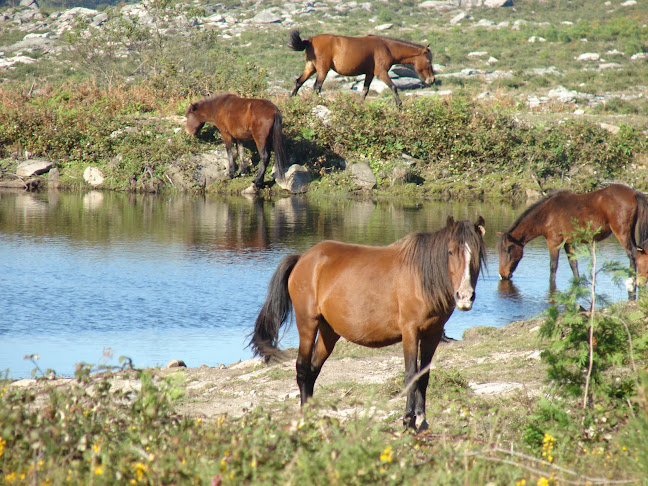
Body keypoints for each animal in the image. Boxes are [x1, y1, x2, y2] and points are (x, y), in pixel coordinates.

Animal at [251, 216, 484, 430]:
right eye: (451, 251)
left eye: (477, 253)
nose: (465, 296)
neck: (421, 278)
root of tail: (303, 259)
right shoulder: (410, 332)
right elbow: (410, 375)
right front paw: (408, 422)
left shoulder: (432, 334)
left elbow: (423, 375)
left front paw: (422, 421)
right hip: (307, 323)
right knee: (302, 369)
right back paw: (305, 418)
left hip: (329, 331)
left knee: (312, 371)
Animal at [288, 31, 436, 109]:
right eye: (428, 61)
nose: (432, 80)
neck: (387, 48)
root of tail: (310, 41)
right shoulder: (381, 73)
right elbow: (394, 87)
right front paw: (399, 106)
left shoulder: (369, 74)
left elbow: (365, 91)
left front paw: (359, 105)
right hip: (322, 70)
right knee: (317, 87)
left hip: (310, 68)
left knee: (299, 82)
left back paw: (292, 99)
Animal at [496, 183, 648, 290]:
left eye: (508, 250)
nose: (502, 275)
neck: (545, 215)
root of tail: (633, 193)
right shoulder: (568, 243)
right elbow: (573, 265)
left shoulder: (553, 242)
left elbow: (553, 267)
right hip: (629, 232)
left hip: (622, 232)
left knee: (633, 254)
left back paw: (632, 282)